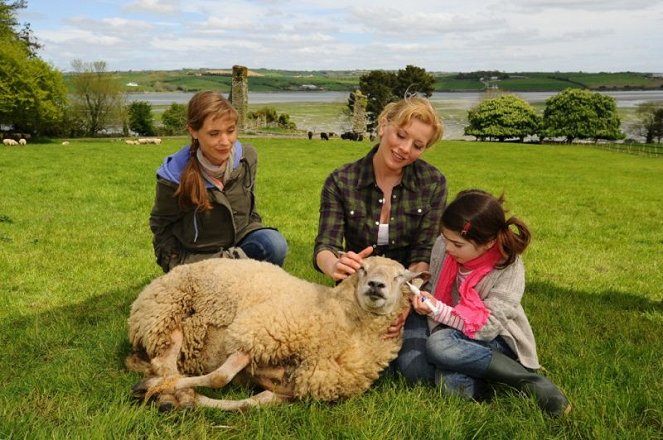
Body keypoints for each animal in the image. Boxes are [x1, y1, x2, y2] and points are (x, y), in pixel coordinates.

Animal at [124, 256, 426, 410]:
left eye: (401, 277)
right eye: (362, 268)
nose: (376, 285)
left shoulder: (291, 387)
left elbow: (253, 403)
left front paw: (197, 400)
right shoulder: (259, 332)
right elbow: (221, 377)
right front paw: (164, 390)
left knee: (162, 364)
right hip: (167, 312)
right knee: (164, 362)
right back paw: (162, 390)